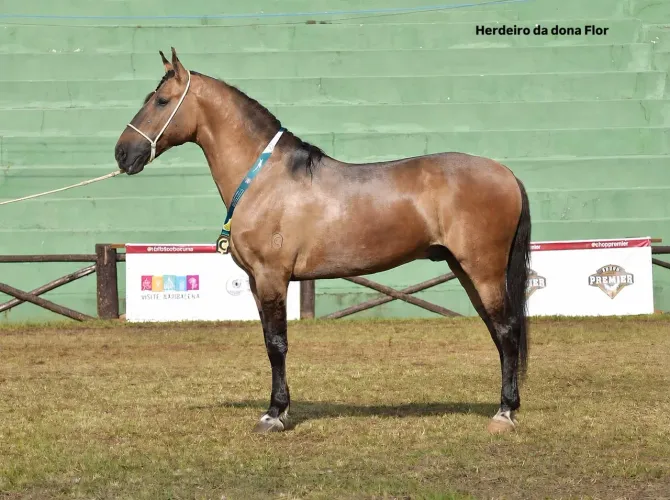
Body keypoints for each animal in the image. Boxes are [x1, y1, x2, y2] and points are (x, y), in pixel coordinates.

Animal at [114, 48, 532, 435]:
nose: (122, 153)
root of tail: (506, 173)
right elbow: (269, 341)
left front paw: (274, 414)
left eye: (161, 100)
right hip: (464, 269)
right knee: (497, 331)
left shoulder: (272, 277)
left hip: (483, 270)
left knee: (507, 330)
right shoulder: (256, 282)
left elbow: (277, 344)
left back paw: (504, 413)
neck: (265, 178)